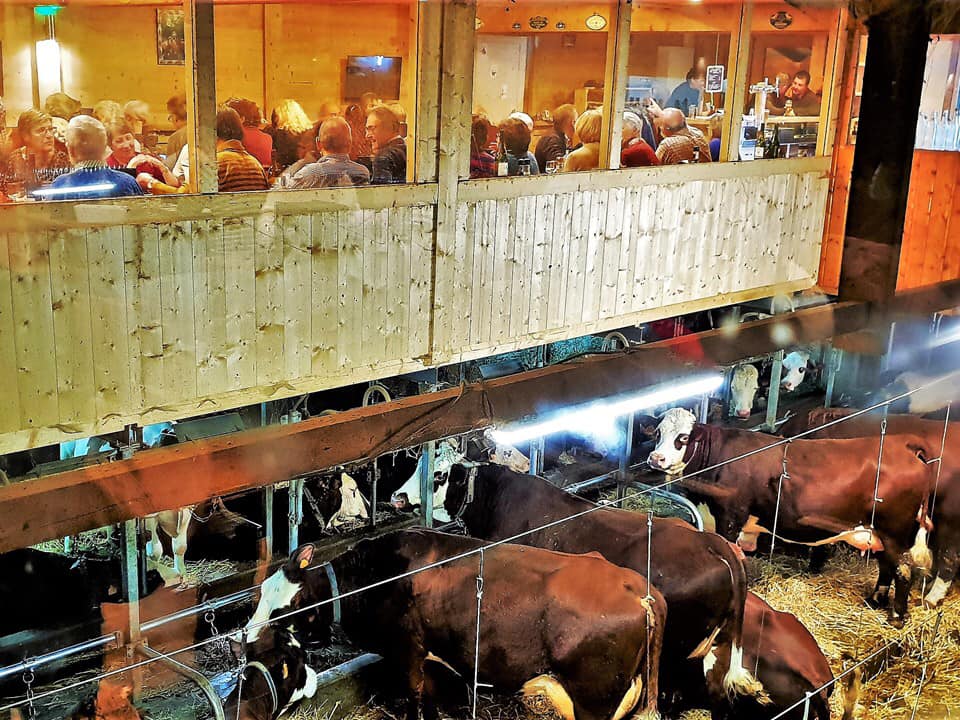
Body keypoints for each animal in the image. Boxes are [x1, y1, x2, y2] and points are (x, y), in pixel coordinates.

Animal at [238, 528, 668, 720]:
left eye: (288, 606)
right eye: (261, 593)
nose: (245, 638)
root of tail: (638, 589)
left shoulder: (407, 651)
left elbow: (414, 697)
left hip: (594, 701)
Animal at [644, 410, 936, 624]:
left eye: (683, 437)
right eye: (657, 433)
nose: (656, 458)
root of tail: (903, 445)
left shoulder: (729, 518)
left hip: (896, 534)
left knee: (903, 571)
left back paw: (896, 616)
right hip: (880, 534)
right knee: (886, 567)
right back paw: (875, 600)